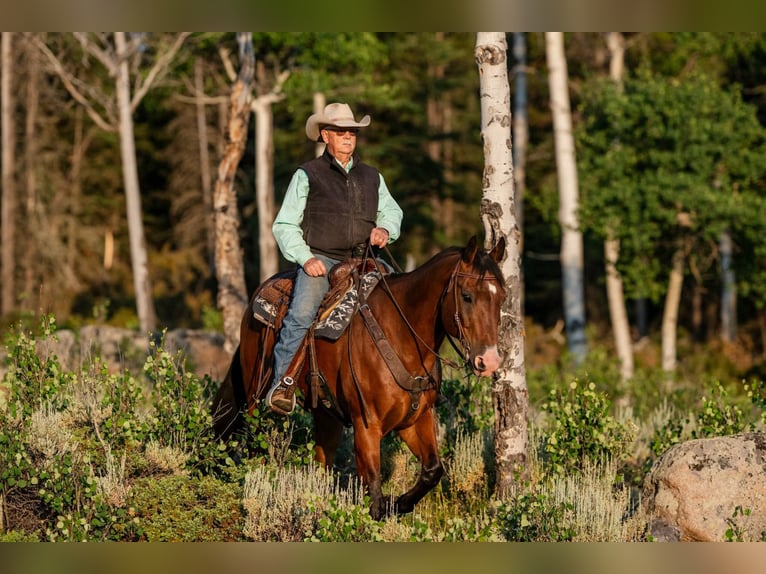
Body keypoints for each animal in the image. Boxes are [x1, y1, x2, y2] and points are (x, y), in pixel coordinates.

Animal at [211, 235, 506, 520]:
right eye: (466, 296)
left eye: (502, 297)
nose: (489, 361)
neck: (401, 336)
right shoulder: (367, 425)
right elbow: (373, 493)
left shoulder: (415, 420)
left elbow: (432, 470)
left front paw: (399, 504)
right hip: (255, 397)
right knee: (255, 447)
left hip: (326, 415)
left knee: (322, 463)